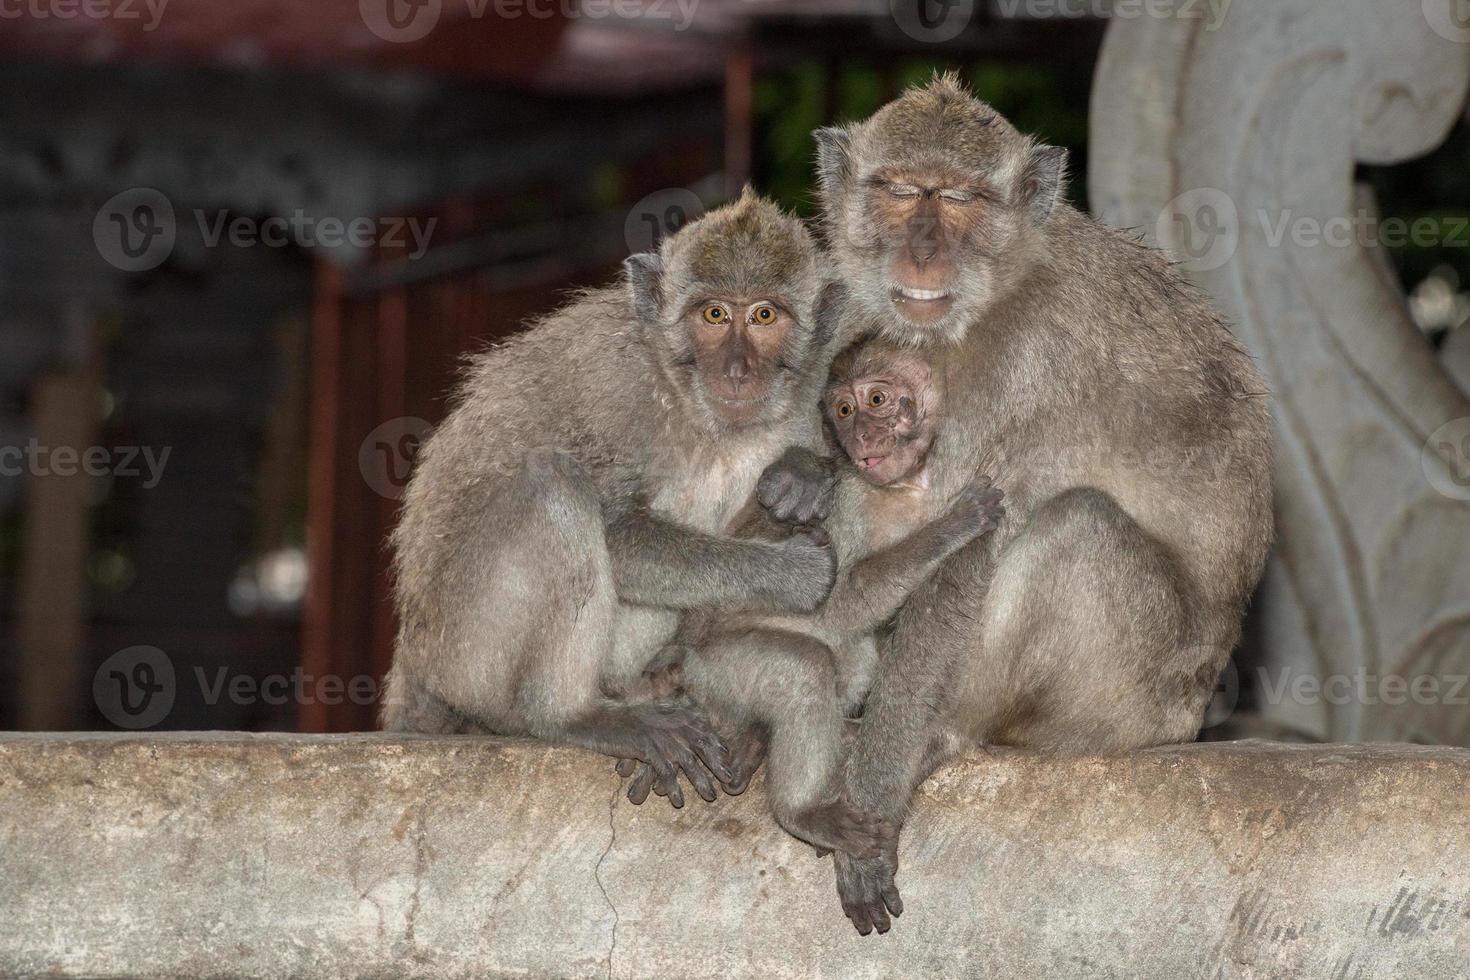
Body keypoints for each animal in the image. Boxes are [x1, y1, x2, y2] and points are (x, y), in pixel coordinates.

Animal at [614, 340, 1005, 863]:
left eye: (876, 400)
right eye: (844, 411)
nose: (862, 436)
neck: (904, 491)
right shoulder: (849, 501)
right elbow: (836, 599)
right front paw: (952, 528)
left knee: (854, 659)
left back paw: (762, 739)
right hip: (716, 670)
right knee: (806, 667)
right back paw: (799, 812)